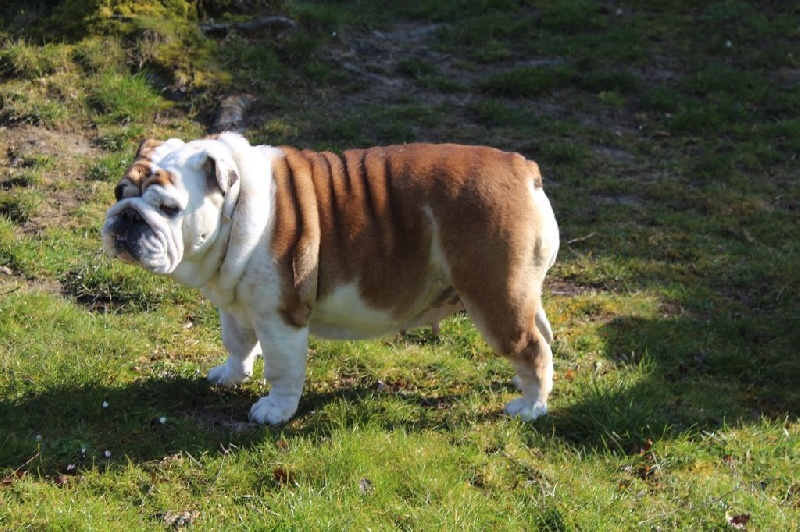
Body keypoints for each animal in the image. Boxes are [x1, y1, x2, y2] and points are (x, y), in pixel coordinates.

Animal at [102, 132, 559, 424]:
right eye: (120, 192)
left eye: (169, 208)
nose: (127, 217)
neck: (237, 207)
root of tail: (523, 168)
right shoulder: (234, 303)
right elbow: (237, 343)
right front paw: (231, 376)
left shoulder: (280, 318)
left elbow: (282, 369)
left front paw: (275, 411)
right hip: (518, 294)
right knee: (539, 334)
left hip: (494, 297)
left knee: (532, 349)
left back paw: (530, 408)